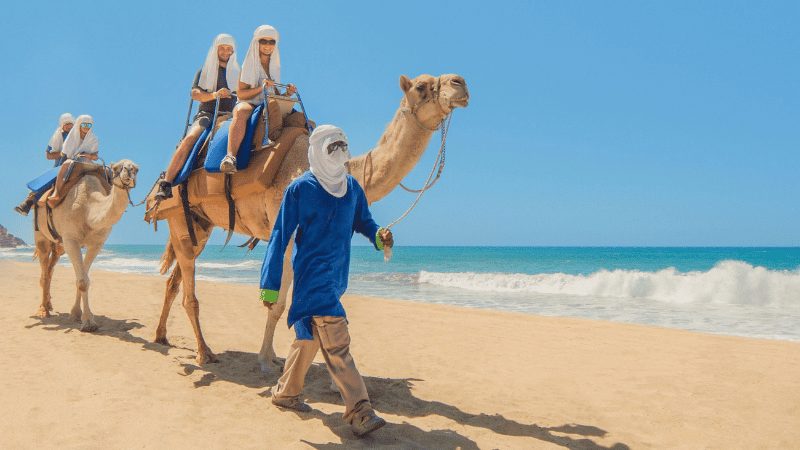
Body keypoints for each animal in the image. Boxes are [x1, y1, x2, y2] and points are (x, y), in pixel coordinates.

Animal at [33, 160, 139, 332]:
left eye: (137, 169)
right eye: (116, 168)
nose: (129, 170)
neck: (88, 209)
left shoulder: (96, 243)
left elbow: (83, 278)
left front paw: (77, 314)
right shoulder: (71, 239)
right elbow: (82, 281)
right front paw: (88, 323)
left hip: (59, 245)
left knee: (50, 268)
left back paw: (48, 304)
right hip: (41, 235)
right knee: (44, 271)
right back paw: (43, 310)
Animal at [152, 74, 469, 366]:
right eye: (421, 86)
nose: (460, 83)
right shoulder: (288, 233)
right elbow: (280, 303)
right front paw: (267, 358)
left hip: (199, 225)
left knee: (175, 278)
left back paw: (161, 336)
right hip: (178, 216)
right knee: (188, 289)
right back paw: (204, 353)